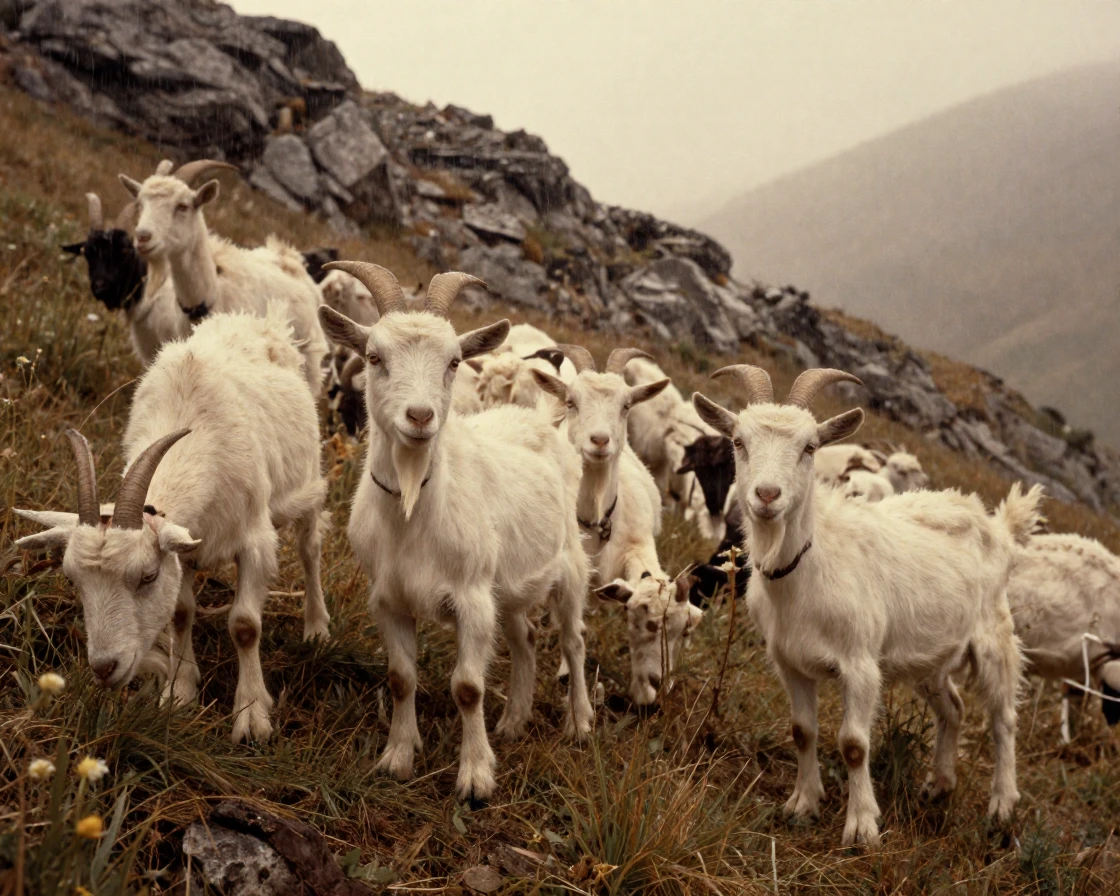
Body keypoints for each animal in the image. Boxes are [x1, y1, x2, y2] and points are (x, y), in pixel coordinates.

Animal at [15, 306, 329, 743]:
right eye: (72, 580)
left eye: (146, 577)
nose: (104, 669)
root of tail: (260, 319)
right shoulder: (184, 547)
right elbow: (180, 612)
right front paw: (179, 693)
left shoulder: (254, 540)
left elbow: (245, 625)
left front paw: (252, 716)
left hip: (307, 481)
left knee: (310, 547)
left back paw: (317, 628)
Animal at [119, 160, 328, 396]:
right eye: (140, 204)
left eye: (182, 206)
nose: (143, 237)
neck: (212, 296)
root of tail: (291, 259)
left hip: (310, 358)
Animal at [317, 262, 593, 803]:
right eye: (374, 357)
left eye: (453, 362)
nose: (420, 416)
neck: (413, 514)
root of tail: (539, 419)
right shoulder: (389, 599)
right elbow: (401, 678)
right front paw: (397, 758)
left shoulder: (472, 597)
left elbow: (468, 687)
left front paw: (476, 777)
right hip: (510, 587)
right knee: (526, 638)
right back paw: (513, 722)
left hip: (568, 568)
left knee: (573, 641)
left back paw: (579, 723)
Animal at [693, 364, 1040, 847]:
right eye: (739, 442)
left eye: (810, 447)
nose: (766, 495)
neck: (807, 568)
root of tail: (999, 525)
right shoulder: (789, 662)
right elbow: (802, 732)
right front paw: (802, 804)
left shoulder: (859, 663)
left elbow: (855, 744)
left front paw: (862, 827)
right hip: (930, 654)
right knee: (953, 708)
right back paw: (939, 785)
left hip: (993, 637)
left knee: (1003, 717)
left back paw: (1002, 806)